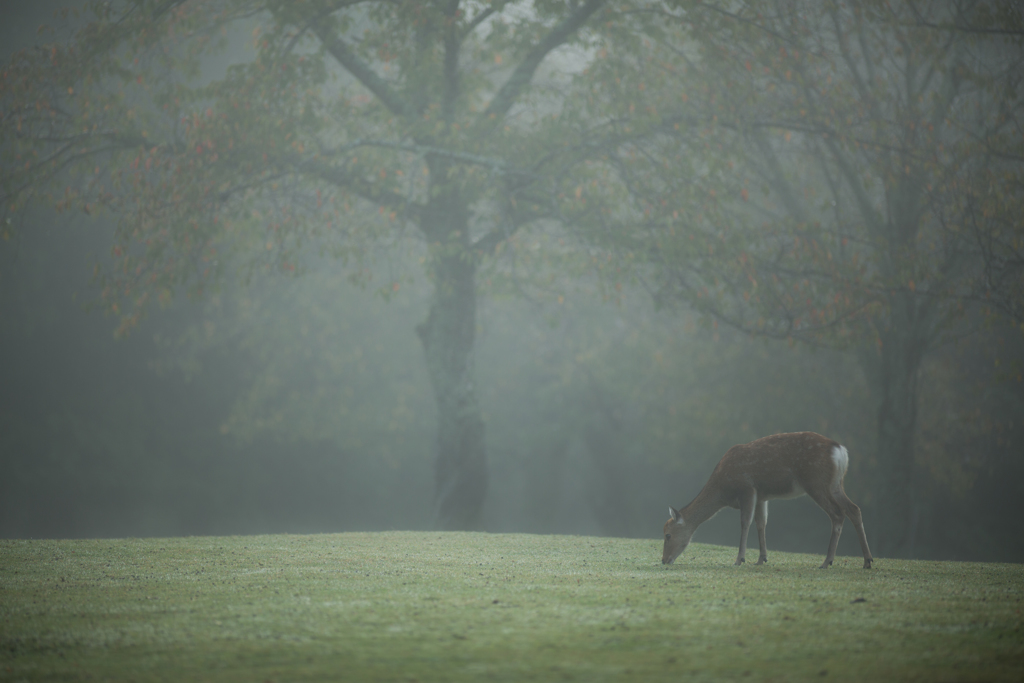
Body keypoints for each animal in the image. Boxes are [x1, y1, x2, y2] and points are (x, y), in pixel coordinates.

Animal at [663, 432, 872, 573]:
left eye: (667, 535)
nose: (664, 560)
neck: (723, 490)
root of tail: (840, 451)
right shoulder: (761, 496)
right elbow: (761, 523)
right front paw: (761, 558)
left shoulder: (747, 489)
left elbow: (745, 522)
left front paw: (739, 559)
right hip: (836, 484)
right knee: (854, 509)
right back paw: (867, 561)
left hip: (816, 481)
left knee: (837, 513)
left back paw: (827, 561)